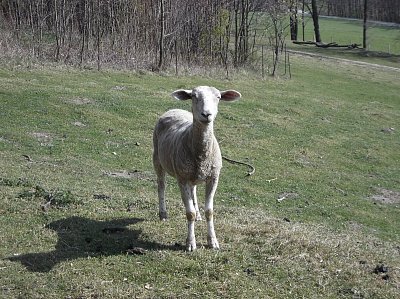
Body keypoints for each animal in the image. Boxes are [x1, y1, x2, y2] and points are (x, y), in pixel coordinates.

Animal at [152, 86, 241, 251]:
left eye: (218, 97)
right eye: (193, 96)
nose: (206, 114)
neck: (201, 154)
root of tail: (174, 109)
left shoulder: (213, 177)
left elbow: (209, 212)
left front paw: (212, 241)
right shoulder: (182, 179)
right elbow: (189, 214)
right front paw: (191, 243)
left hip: (193, 174)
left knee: (193, 190)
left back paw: (198, 214)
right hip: (157, 159)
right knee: (161, 186)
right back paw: (163, 214)